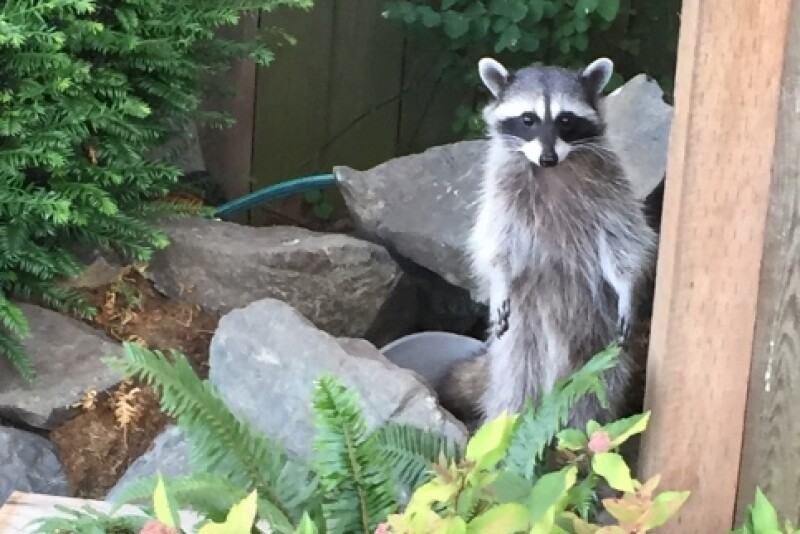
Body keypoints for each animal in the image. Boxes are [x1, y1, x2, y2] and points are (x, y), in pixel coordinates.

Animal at [437, 57, 657, 434]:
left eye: (566, 120)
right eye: (529, 120)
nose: (548, 158)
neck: (553, 170)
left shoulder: (611, 187)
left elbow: (623, 238)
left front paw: (627, 285)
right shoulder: (501, 190)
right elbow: (497, 241)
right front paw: (499, 278)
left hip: (598, 338)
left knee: (597, 387)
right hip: (524, 329)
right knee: (516, 379)